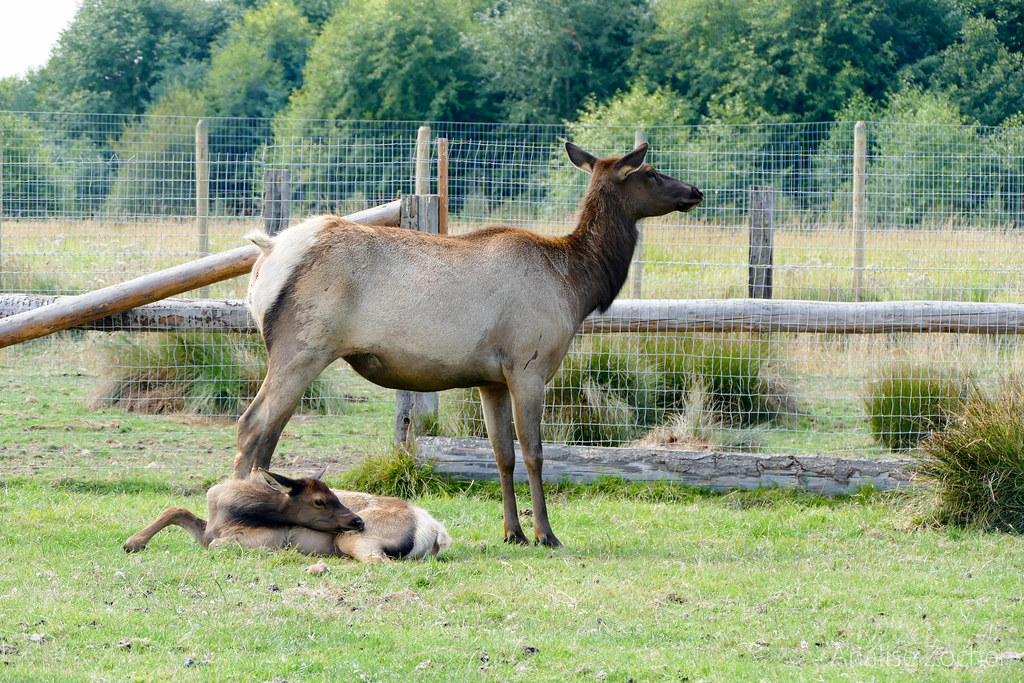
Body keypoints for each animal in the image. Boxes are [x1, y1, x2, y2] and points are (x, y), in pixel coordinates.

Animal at [123, 469, 452, 562]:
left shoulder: (270, 538)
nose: (357, 519)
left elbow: (217, 544)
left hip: (350, 539)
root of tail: (436, 532)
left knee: (378, 561)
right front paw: (133, 542)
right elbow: (175, 509)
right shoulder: (206, 530)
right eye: (320, 500)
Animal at [233, 141, 703, 548]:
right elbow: (534, 453)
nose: (695, 191)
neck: (577, 285)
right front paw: (545, 534)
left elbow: (502, 454)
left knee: (271, 432)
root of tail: (266, 254)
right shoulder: (528, 366)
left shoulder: (491, 380)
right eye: (651, 172)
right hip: (302, 346)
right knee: (252, 424)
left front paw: (513, 532)